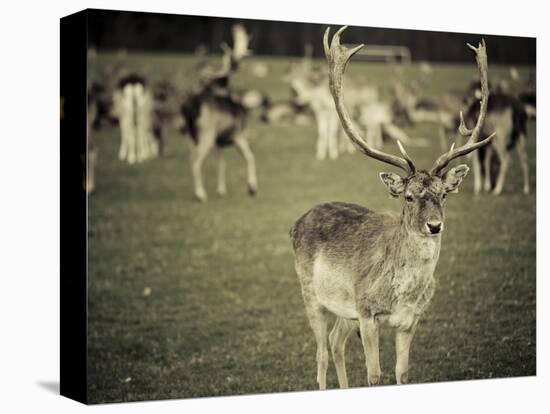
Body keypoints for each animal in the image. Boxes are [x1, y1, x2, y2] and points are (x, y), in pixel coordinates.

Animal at [181, 24, 258, 202]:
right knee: (196, 162)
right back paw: (201, 194)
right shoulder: (238, 135)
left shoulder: (219, 143)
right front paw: (252, 188)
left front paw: (221, 190)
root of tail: (191, 107)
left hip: (191, 136)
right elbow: (250, 157)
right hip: (206, 134)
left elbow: (222, 163)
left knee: (190, 159)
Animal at [292, 27, 498, 390]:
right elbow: (374, 376)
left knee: (335, 342)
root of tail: (296, 223)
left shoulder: (410, 320)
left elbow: (403, 374)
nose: (434, 225)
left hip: (343, 310)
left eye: (444, 195)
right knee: (320, 353)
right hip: (312, 296)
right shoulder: (366, 311)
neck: (402, 293)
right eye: (409, 197)